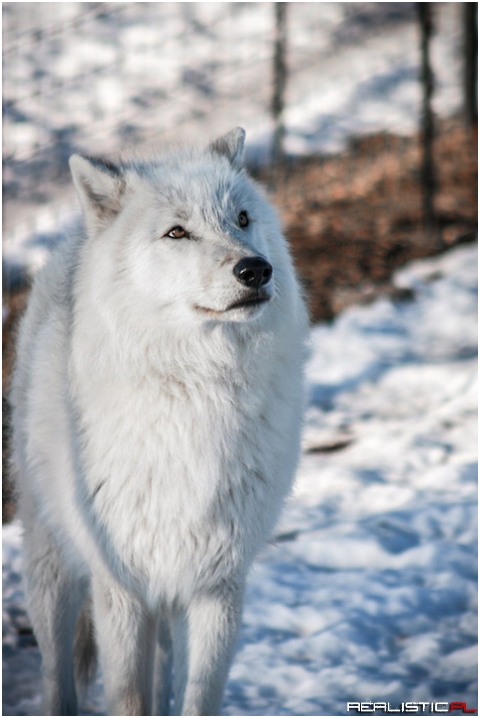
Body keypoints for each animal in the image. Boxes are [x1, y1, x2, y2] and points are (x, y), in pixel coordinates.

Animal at [10, 128, 308, 716]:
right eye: (177, 232)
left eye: (241, 218)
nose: (255, 269)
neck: (198, 394)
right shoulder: (122, 587)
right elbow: (128, 695)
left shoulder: (218, 584)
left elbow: (199, 695)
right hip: (53, 567)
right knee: (58, 676)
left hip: (168, 601)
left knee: (166, 672)